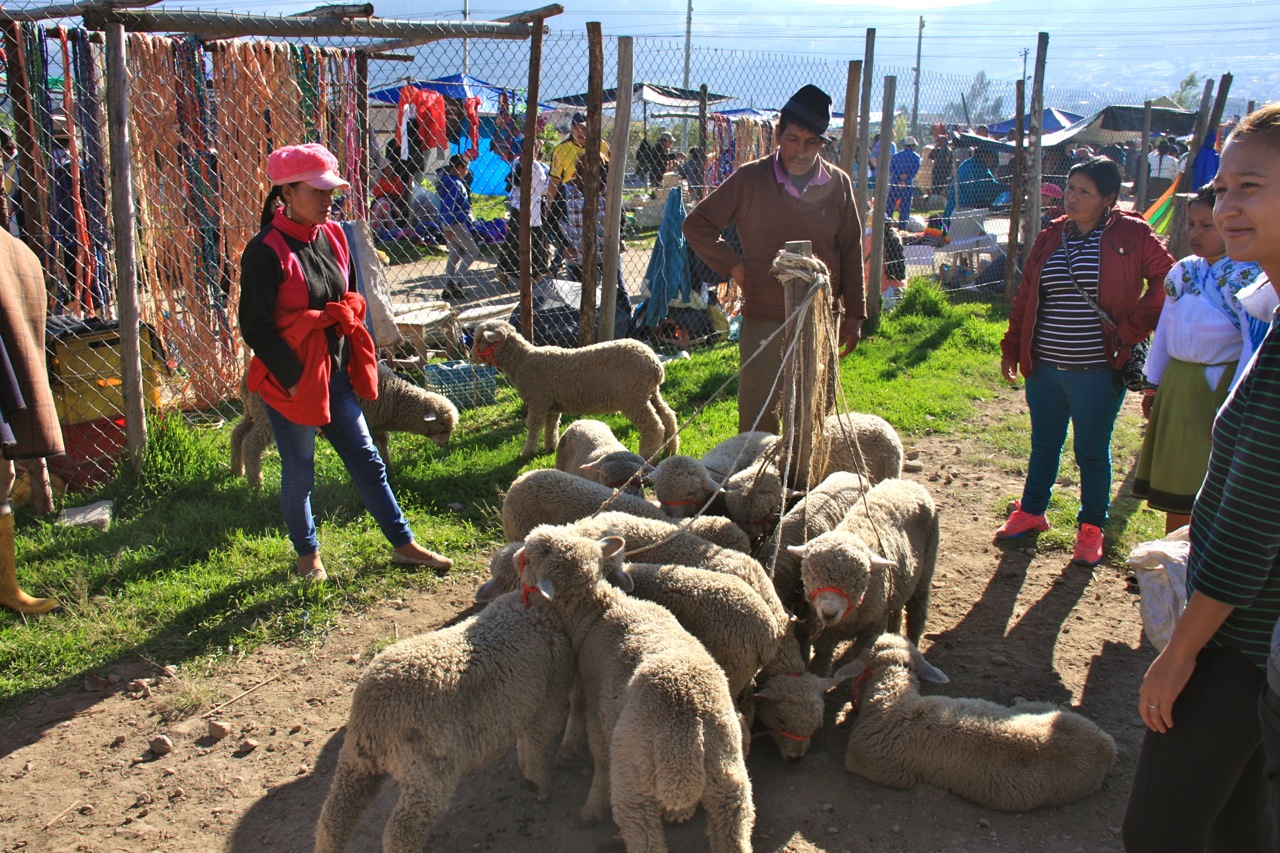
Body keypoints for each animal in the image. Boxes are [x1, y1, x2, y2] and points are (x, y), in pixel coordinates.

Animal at [231, 363, 457, 487]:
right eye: (442, 423)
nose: (446, 444)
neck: (395, 398)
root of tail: (245, 379)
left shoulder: (376, 424)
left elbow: (383, 442)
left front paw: (389, 467)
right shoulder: (367, 421)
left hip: (252, 411)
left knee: (237, 434)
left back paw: (236, 470)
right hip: (267, 416)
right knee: (251, 443)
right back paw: (255, 482)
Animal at [314, 591, 575, 853]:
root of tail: (374, 712)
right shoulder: (549, 699)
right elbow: (535, 747)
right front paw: (541, 786)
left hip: (356, 760)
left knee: (333, 816)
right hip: (427, 767)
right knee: (402, 830)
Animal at [471, 319, 679, 459]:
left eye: (480, 339)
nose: (471, 356)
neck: (522, 361)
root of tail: (655, 366)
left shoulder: (538, 401)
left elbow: (534, 426)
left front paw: (527, 451)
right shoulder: (552, 405)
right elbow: (552, 426)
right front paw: (550, 447)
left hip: (632, 395)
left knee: (653, 425)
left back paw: (647, 455)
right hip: (649, 393)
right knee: (668, 416)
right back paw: (670, 449)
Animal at [519, 526, 754, 852]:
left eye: (537, 555)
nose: (522, 548)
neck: (600, 609)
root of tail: (686, 744)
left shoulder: (599, 711)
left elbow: (601, 758)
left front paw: (592, 807)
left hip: (635, 782)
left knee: (643, 833)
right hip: (730, 784)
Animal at [789, 478, 939, 676]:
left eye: (860, 580)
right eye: (810, 576)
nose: (829, 612)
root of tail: (906, 482)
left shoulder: (873, 625)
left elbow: (859, 655)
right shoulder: (824, 628)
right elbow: (823, 653)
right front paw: (817, 672)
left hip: (926, 570)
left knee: (917, 612)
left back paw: (911, 642)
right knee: (898, 608)